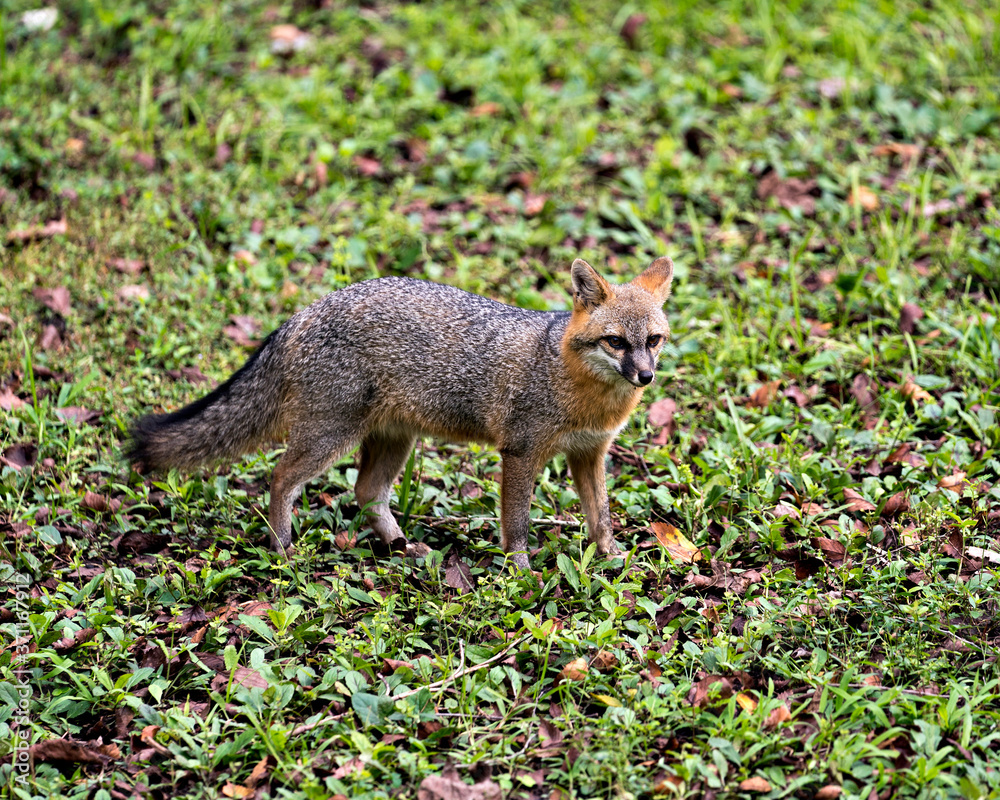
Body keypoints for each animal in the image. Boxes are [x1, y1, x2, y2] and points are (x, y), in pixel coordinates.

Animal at [125, 258, 672, 568]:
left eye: (653, 341)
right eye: (616, 342)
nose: (645, 376)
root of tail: (302, 313)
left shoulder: (590, 453)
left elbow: (601, 516)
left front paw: (613, 560)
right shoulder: (520, 451)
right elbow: (515, 523)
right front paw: (520, 571)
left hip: (395, 439)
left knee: (366, 491)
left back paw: (402, 545)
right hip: (330, 438)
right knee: (280, 478)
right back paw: (284, 547)